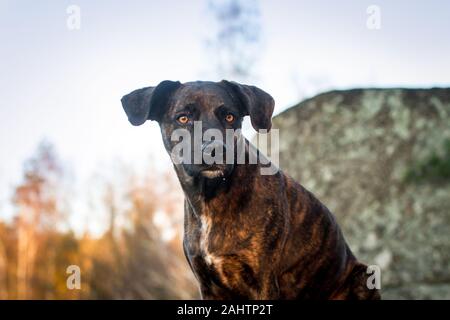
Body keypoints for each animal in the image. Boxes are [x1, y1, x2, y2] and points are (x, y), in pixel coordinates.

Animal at [120, 80, 380, 300]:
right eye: (183, 118)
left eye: (230, 116)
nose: (214, 150)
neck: (211, 199)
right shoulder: (208, 286)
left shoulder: (263, 281)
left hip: (364, 277)